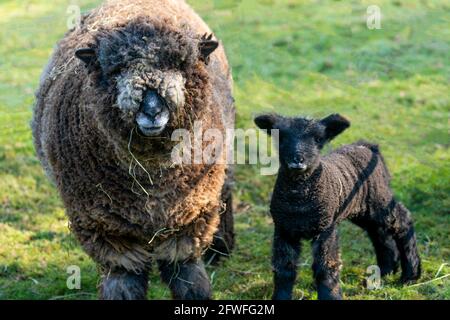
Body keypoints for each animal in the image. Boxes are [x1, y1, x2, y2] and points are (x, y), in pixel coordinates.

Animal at [31, 0, 236, 300]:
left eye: (180, 64)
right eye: (115, 70)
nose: (151, 110)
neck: (151, 174)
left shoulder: (190, 215)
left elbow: (187, 276)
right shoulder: (107, 228)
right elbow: (124, 280)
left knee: (227, 190)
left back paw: (221, 248)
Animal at [255, 112, 420, 300]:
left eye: (318, 139)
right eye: (280, 137)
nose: (297, 161)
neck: (300, 202)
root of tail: (367, 146)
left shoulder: (326, 228)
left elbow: (326, 266)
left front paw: (331, 296)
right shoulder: (283, 229)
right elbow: (284, 269)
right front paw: (280, 297)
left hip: (380, 199)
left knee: (403, 220)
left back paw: (410, 275)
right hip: (363, 210)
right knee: (379, 233)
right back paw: (386, 271)